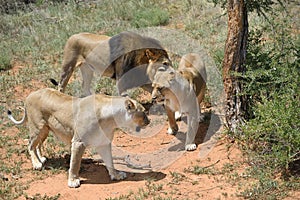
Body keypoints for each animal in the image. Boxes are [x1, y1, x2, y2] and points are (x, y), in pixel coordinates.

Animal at [7, 88, 150, 188]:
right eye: (143, 112)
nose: (149, 121)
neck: (111, 120)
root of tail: (31, 94)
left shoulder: (104, 143)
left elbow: (110, 161)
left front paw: (116, 175)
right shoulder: (78, 142)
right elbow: (75, 163)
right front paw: (73, 181)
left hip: (45, 130)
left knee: (37, 144)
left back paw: (41, 159)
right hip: (38, 127)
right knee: (30, 144)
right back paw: (36, 163)